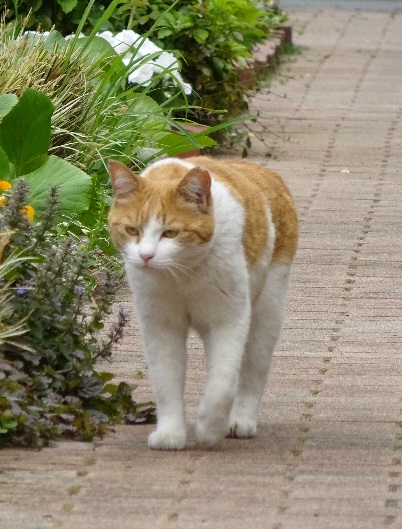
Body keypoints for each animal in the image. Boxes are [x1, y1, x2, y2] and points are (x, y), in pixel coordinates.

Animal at [108, 157, 296, 450]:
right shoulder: (160, 326)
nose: (146, 256)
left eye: (170, 233)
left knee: (253, 369)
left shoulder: (228, 320)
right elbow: (166, 381)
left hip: (267, 313)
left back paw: (240, 421)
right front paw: (170, 434)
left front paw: (209, 428)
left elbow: (222, 384)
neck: (181, 275)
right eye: (132, 230)